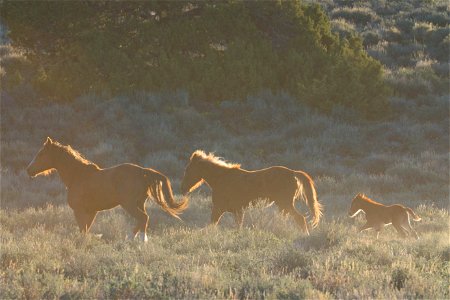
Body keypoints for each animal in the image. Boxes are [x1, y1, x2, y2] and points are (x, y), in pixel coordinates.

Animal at [26, 138, 188, 241]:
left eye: (41, 154)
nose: (29, 170)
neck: (78, 176)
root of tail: (143, 171)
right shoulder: (91, 212)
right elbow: (85, 231)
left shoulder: (79, 211)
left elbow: (82, 231)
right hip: (139, 203)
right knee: (142, 220)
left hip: (129, 204)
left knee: (143, 218)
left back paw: (138, 242)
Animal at [181, 150, 322, 234]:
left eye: (188, 170)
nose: (182, 189)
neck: (222, 179)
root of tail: (293, 173)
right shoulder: (237, 211)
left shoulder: (220, 208)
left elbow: (213, 224)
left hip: (285, 204)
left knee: (300, 218)